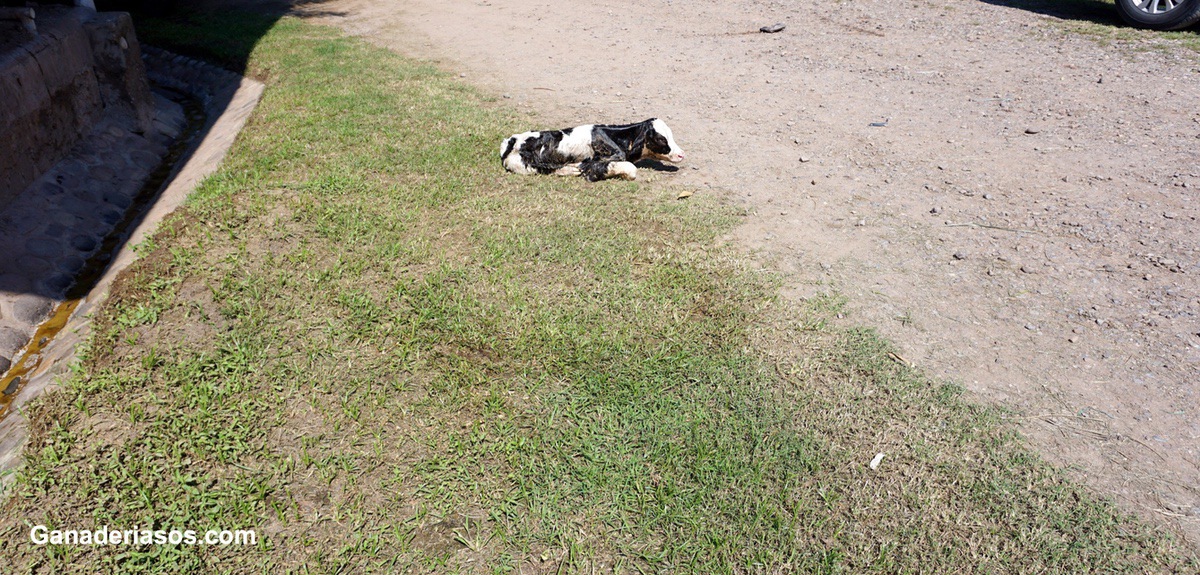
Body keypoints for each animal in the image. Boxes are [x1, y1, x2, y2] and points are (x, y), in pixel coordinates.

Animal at [499, 120, 686, 183]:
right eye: (661, 139)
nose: (681, 154)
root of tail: (510, 142)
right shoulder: (595, 162)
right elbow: (630, 169)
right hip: (528, 166)